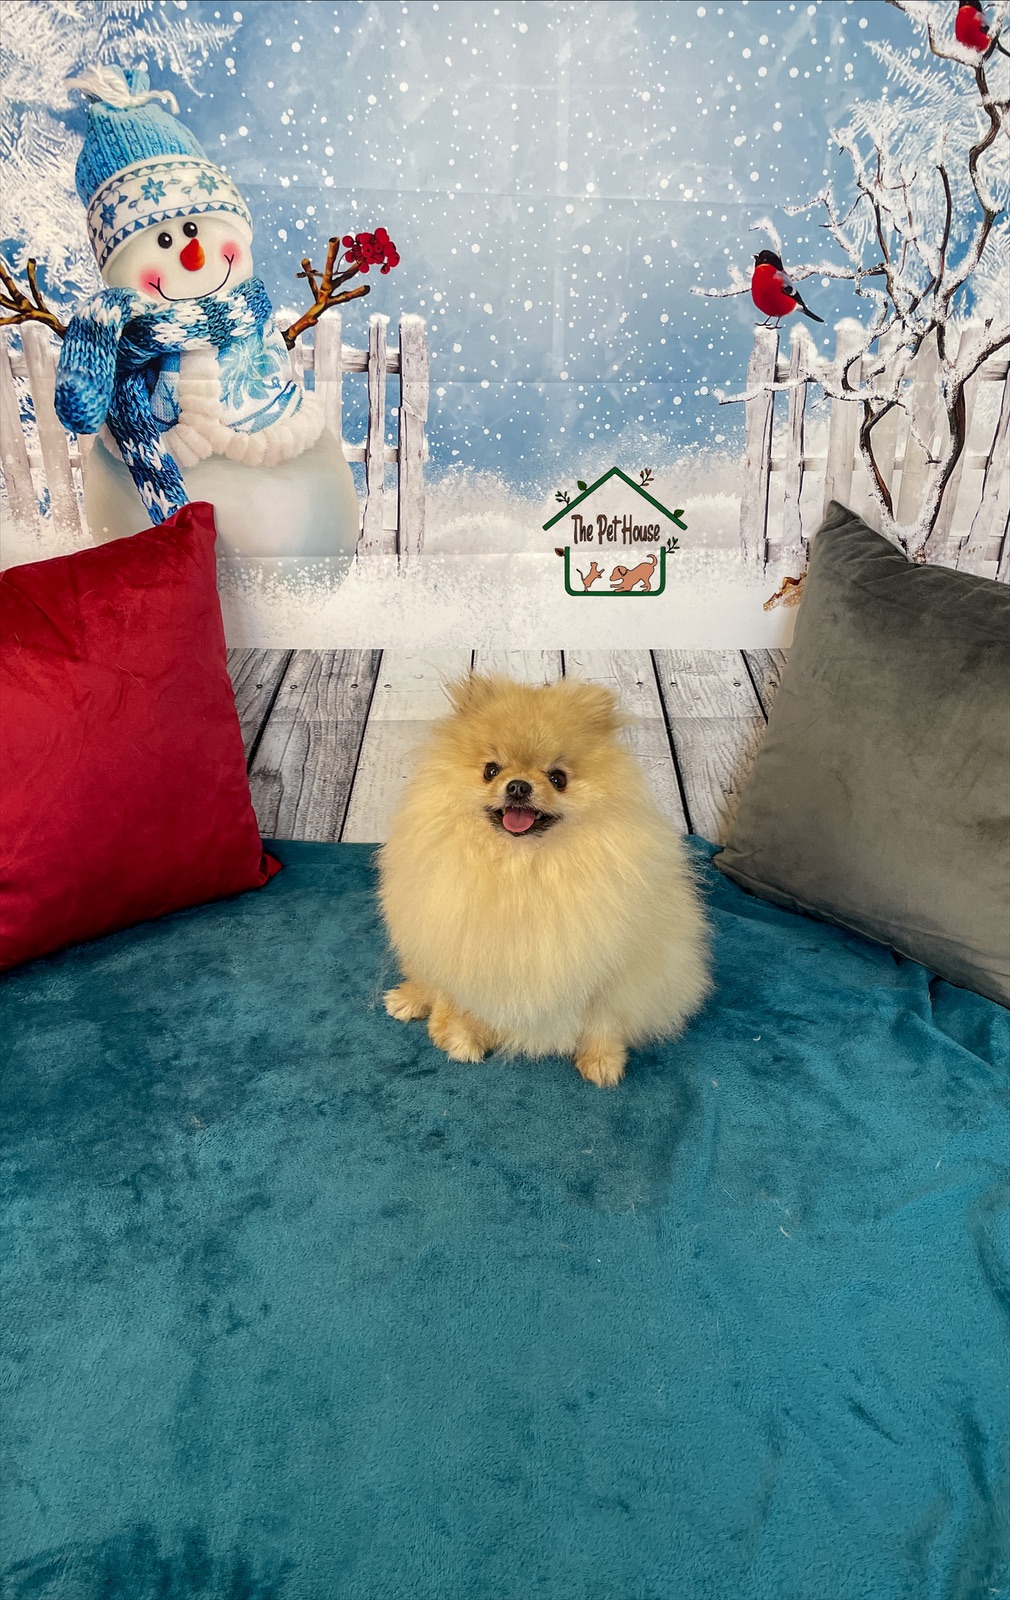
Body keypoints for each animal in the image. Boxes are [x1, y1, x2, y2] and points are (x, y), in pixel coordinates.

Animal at [378, 674, 711, 1087]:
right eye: (491, 770)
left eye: (558, 778)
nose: (518, 786)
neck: (522, 866)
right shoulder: (466, 950)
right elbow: (460, 1000)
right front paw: (463, 1036)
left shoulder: (613, 970)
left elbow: (603, 1021)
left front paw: (602, 1060)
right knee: (429, 982)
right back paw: (410, 1000)